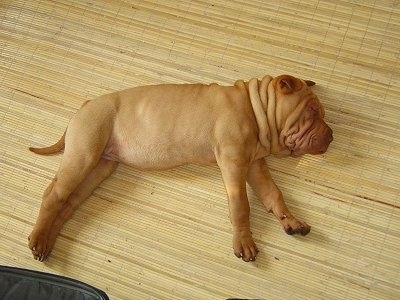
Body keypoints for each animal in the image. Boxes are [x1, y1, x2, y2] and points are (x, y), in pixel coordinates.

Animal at [28, 75, 332, 262]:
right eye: (311, 113)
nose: (331, 136)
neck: (256, 108)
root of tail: (84, 105)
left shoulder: (255, 166)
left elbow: (273, 194)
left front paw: (291, 220)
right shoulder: (233, 163)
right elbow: (241, 205)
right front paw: (243, 242)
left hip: (98, 169)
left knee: (68, 203)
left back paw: (47, 242)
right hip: (83, 154)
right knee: (52, 194)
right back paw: (38, 239)